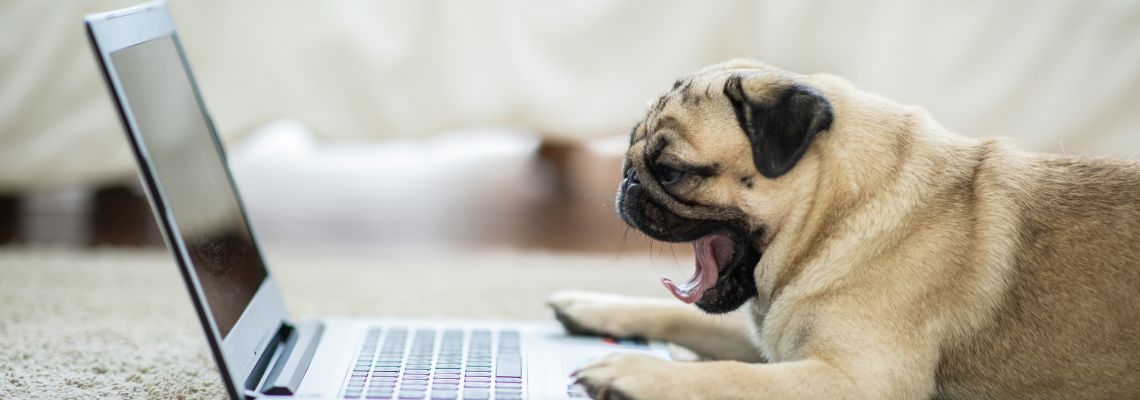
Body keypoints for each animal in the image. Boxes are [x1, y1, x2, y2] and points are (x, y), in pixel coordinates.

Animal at [547, 60, 1135, 400]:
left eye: (670, 171)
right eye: (629, 153)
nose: (626, 182)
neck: (836, 215)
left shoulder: (855, 377)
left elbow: (728, 376)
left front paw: (635, 373)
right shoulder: (778, 336)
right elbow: (675, 315)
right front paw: (591, 306)